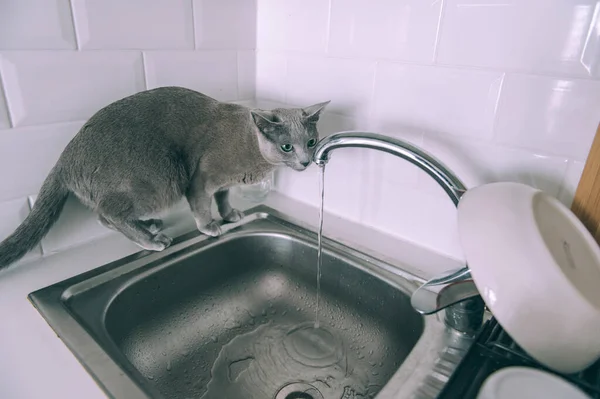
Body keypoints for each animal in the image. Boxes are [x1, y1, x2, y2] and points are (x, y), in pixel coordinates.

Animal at [0, 86, 330, 268]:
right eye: (287, 146)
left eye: (311, 141)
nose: (306, 161)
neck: (251, 149)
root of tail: (65, 158)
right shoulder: (201, 177)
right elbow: (202, 204)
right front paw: (210, 226)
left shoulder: (223, 183)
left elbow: (223, 196)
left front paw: (230, 214)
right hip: (159, 177)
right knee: (107, 213)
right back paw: (151, 240)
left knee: (108, 215)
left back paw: (149, 227)